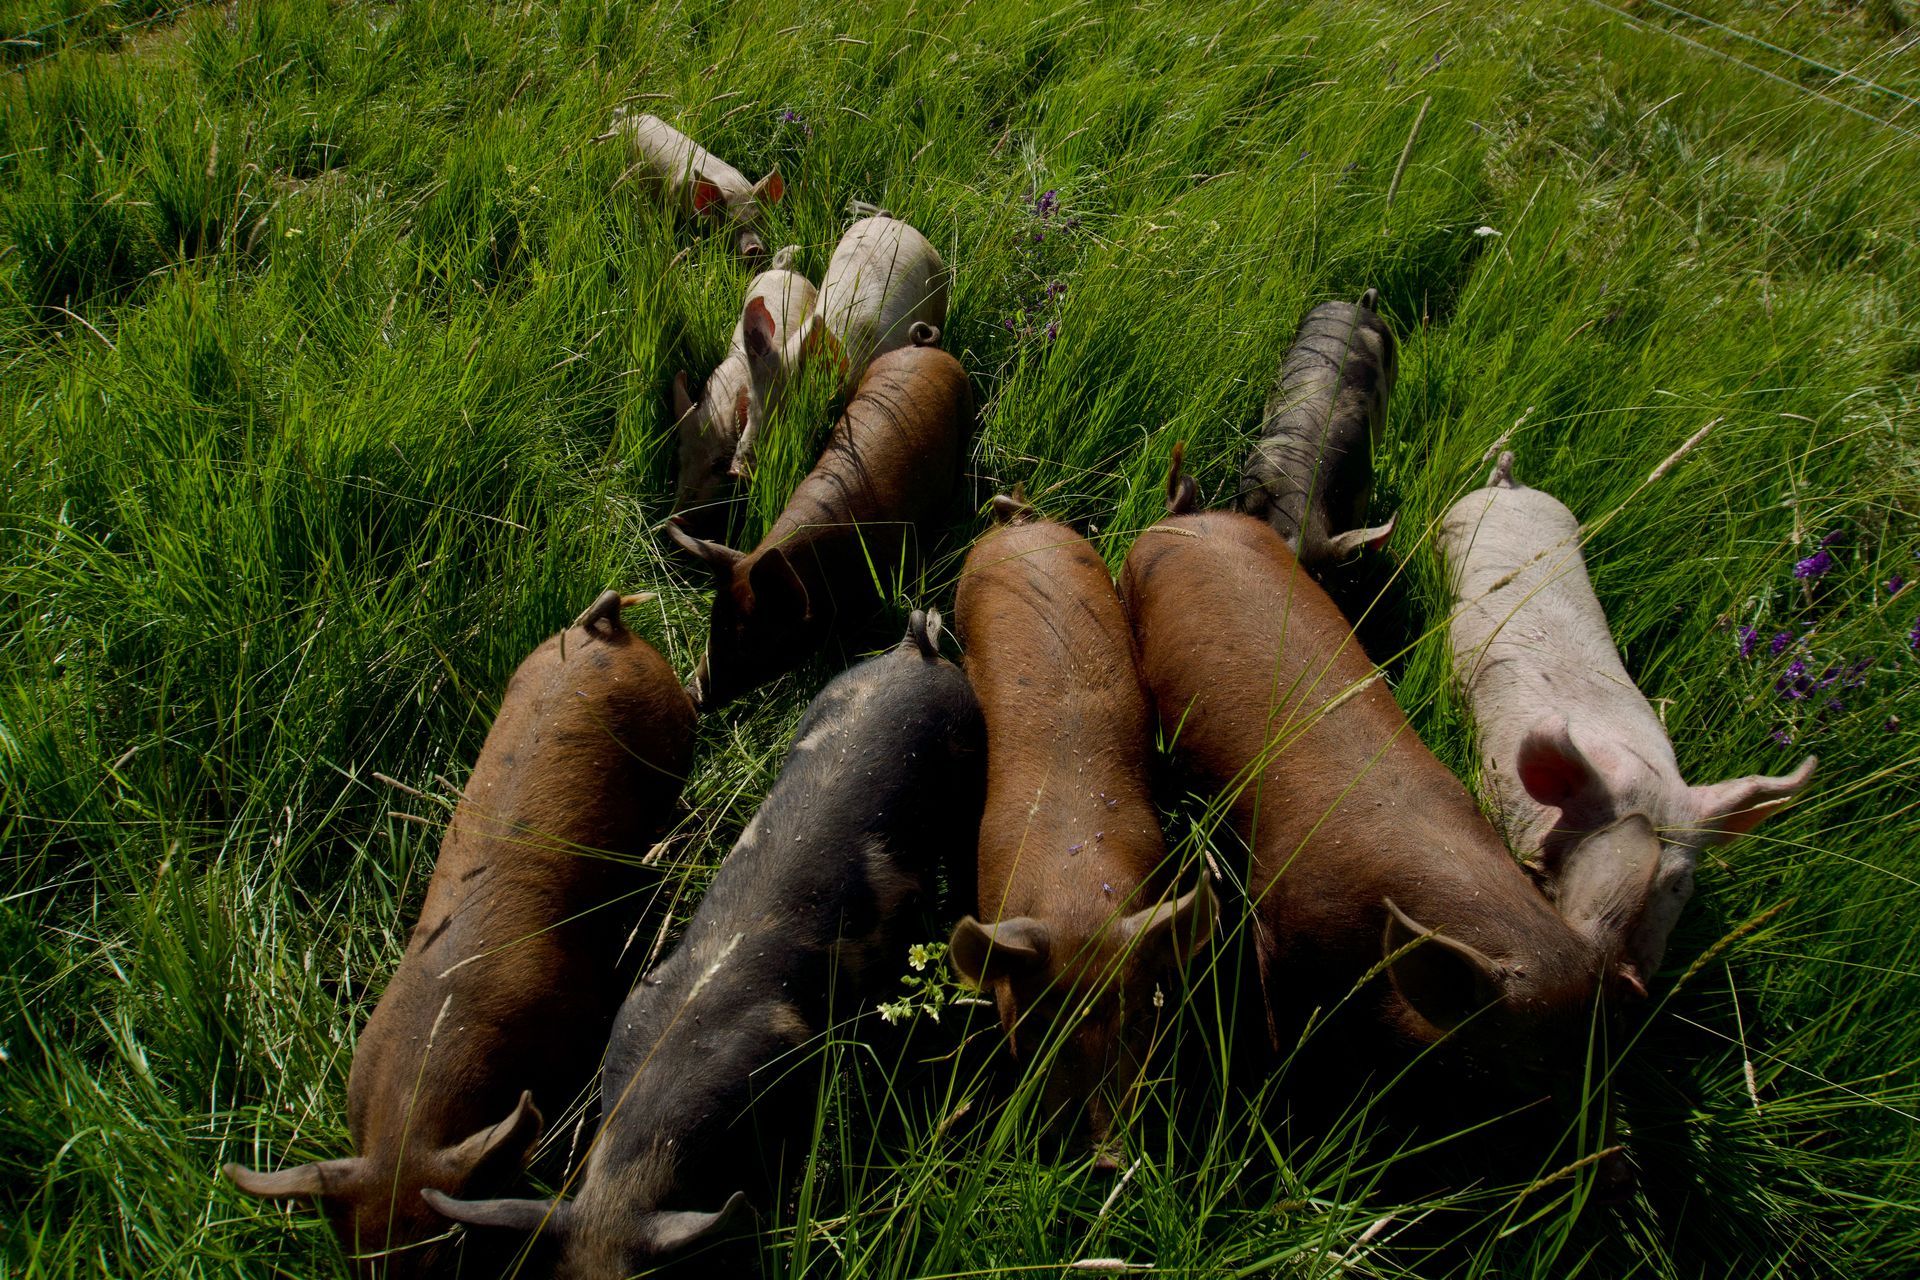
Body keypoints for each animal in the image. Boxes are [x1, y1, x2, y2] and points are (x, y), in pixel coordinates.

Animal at [1121, 449, 1638, 1189]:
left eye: (1609, 1051)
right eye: (1528, 1072)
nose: (1615, 1166)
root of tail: (1188, 514)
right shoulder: (1278, 922)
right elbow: (1283, 1025)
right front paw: (1284, 1095)